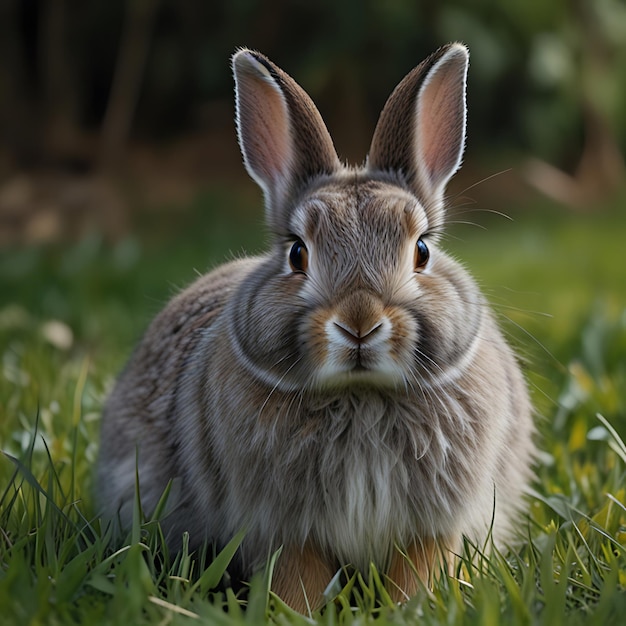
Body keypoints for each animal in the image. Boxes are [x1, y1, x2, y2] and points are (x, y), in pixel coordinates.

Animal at [97, 44, 532, 608]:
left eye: (422, 251)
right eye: (297, 254)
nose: (359, 325)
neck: (361, 395)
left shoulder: (433, 525)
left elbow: (418, 568)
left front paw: (411, 608)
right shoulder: (281, 526)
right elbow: (296, 575)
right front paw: (298, 612)